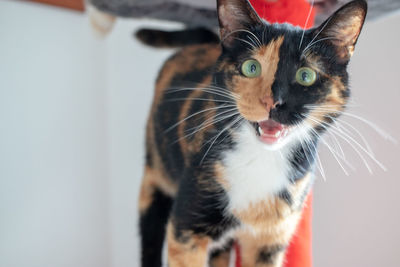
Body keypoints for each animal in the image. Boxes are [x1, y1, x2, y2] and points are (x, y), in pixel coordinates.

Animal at [138, 0, 368, 267]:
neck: (261, 159)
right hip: (155, 176)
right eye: (251, 67)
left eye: (306, 75)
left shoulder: (269, 242)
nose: (273, 102)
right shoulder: (187, 230)